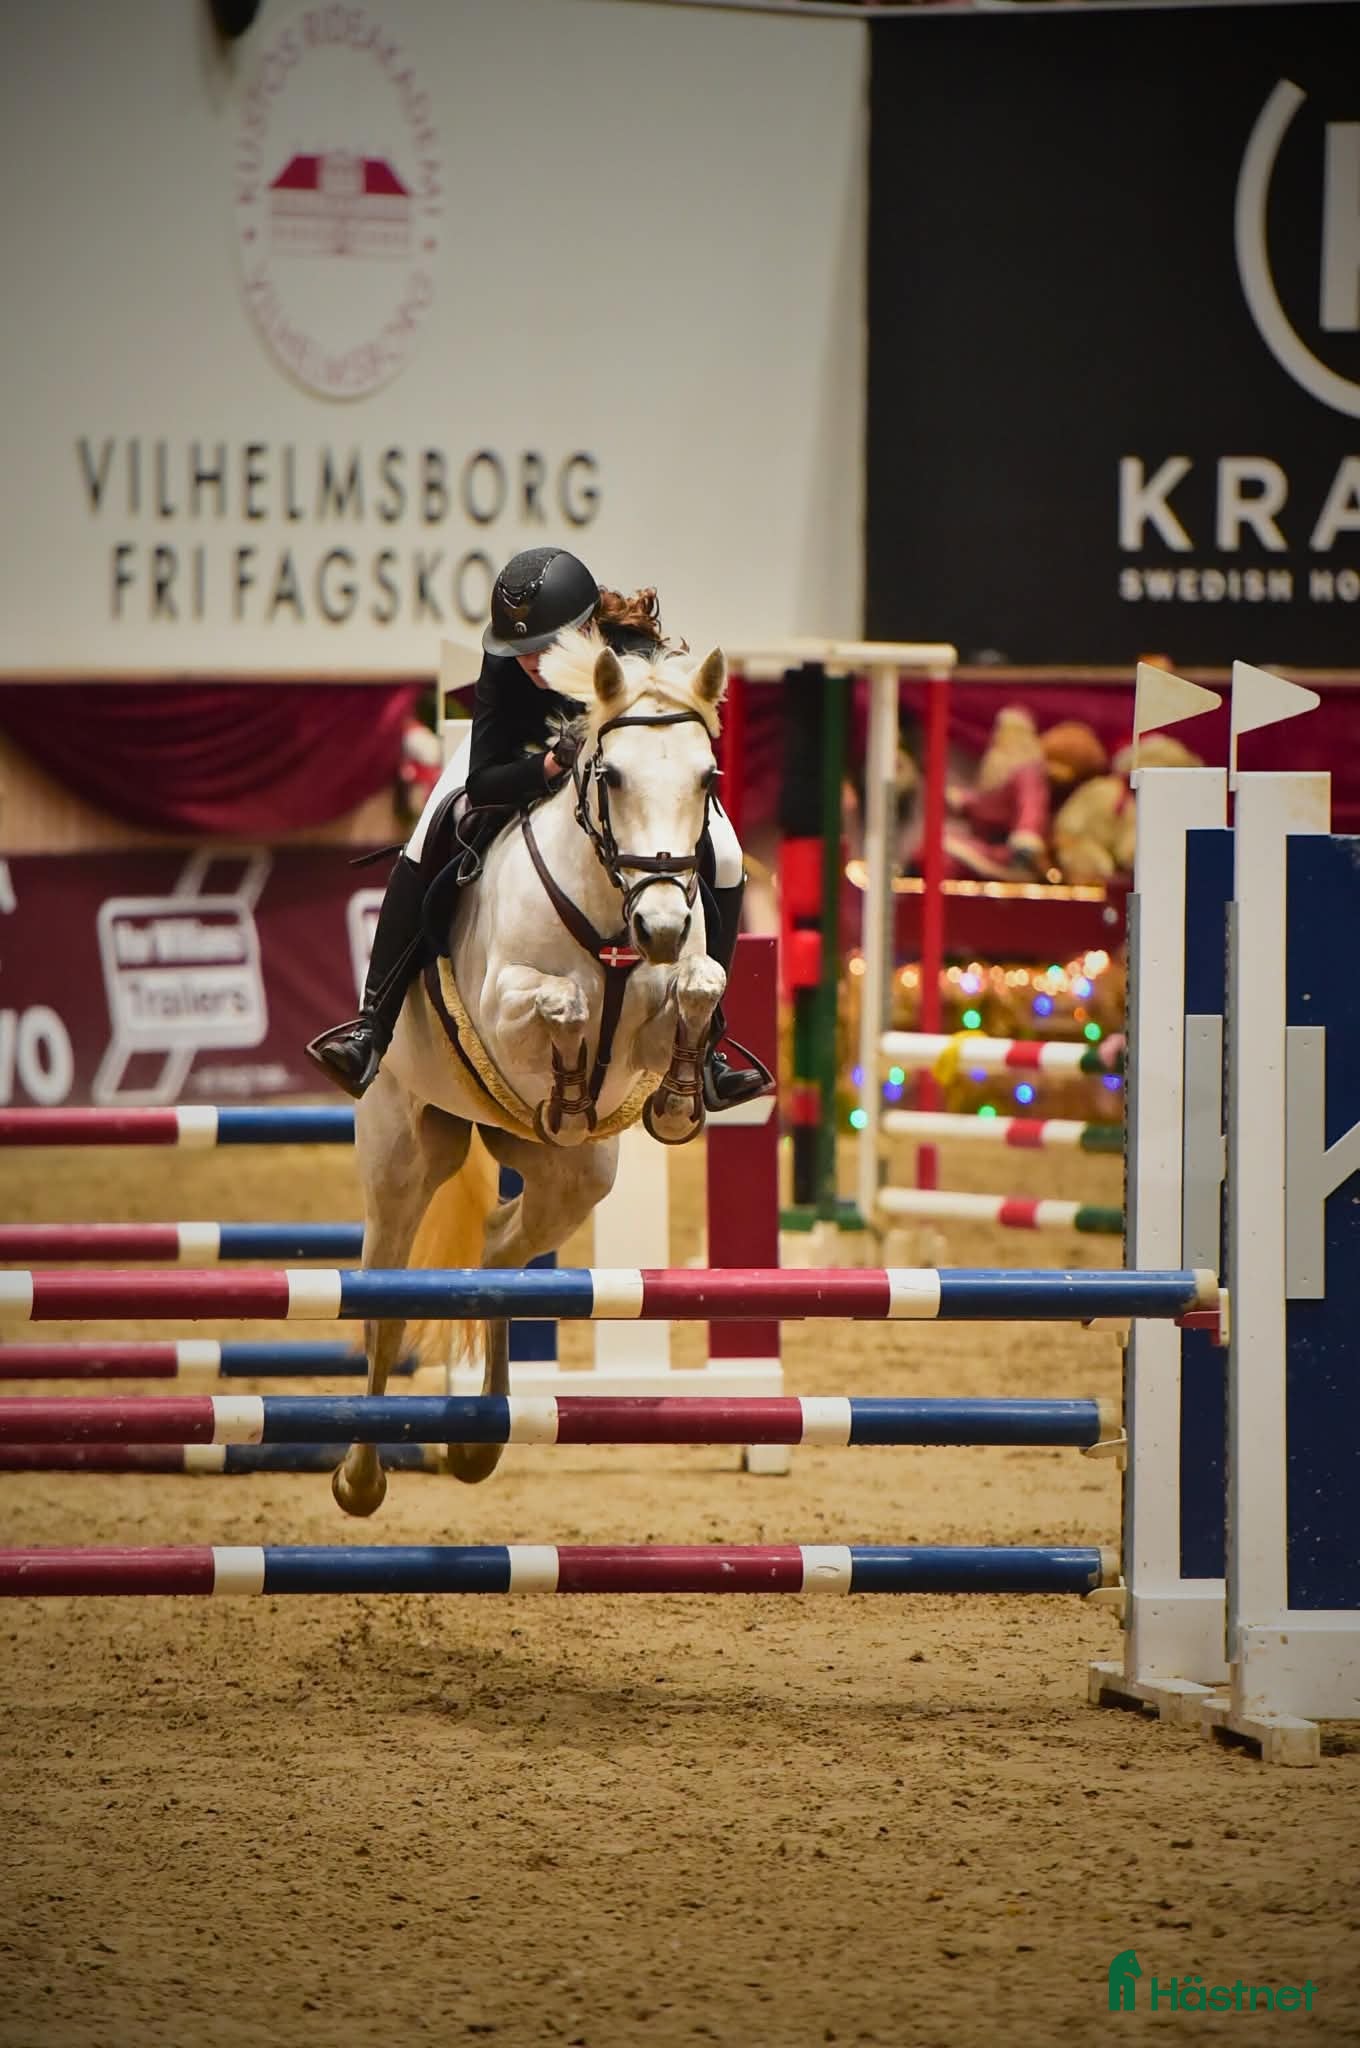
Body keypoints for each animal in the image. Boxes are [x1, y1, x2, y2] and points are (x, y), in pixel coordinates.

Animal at [332, 628, 729, 1516]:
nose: (660, 925)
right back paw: (360, 1476)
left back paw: (478, 1439)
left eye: (707, 779)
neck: (612, 912)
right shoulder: (501, 1007)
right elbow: (561, 1004)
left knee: (496, 1255)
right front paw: (569, 1078)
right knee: (384, 1301)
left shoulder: (669, 997)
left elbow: (700, 986)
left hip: (571, 1180)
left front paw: (678, 1096)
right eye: (612, 777)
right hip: (402, 1154)